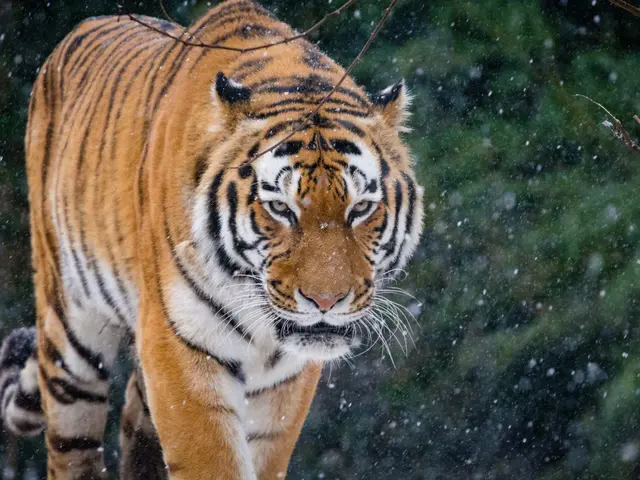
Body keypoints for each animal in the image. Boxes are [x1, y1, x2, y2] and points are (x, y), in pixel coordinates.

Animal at [0, 0, 424, 478]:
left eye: (360, 208)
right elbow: (212, 458)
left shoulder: (287, 378)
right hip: (70, 336)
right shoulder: (179, 345)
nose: (326, 302)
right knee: (73, 445)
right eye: (280, 208)